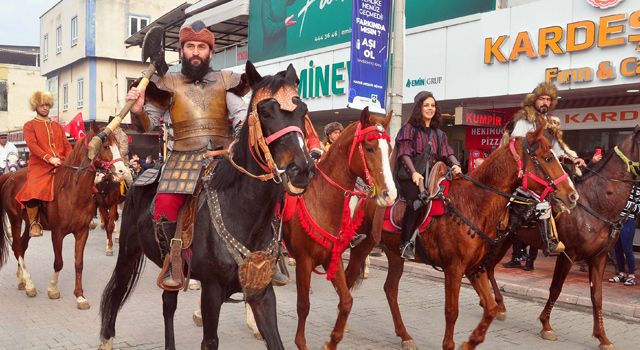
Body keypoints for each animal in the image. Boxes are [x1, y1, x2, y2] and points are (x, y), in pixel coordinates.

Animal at [0, 123, 128, 308]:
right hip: (15, 219)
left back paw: (22, 280)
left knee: (22, 246)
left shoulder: (82, 232)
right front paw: (53, 289)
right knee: (17, 246)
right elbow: (58, 262)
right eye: (105, 146)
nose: (122, 171)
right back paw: (29, 284)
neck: (73, 191)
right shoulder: (57, 233)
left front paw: (80, 296)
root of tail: (10, 176)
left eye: (119, 145)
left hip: (28, 223)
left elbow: (79, 263)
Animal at [99, 62, 316, 350]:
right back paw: (106, 338)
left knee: (168, 303)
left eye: (303, 110)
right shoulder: (212, 291)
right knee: (117, 290)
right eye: (265, 112)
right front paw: (137, 100)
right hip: (128, 251)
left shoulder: (261, 292)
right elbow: (210, 340)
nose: (301, 169)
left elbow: (275, 340)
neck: (243, 213)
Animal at [284, 108, 398, 348]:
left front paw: (332, 341)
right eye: (370, 147)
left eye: (390, 149)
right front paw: (301, 342)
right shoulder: (304, 260)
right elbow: (303, 305)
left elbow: (346, 301)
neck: (320, 202)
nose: (390, 194)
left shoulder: (332, 257)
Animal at [344, 127, 580, 350]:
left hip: (394, 253)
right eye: (548, 158)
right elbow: (451, 311)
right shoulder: (454, 268)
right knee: (348, 278)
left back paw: (405, 336)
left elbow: (490, 308)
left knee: (390, 290)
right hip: (363, 245)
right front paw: (449, 344)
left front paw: (471, 342)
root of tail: (367, 193)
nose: (572, 195)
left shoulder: (475, 268)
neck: (473, 204)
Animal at [484, 125, 640, 348]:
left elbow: (597, 297)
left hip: (507, 239)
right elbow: (555, 289)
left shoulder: (599, 258)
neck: (596, 202)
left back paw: (497, 305)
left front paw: (602, 337)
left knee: (487, 267)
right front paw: (546, 325)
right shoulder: (569, 255)